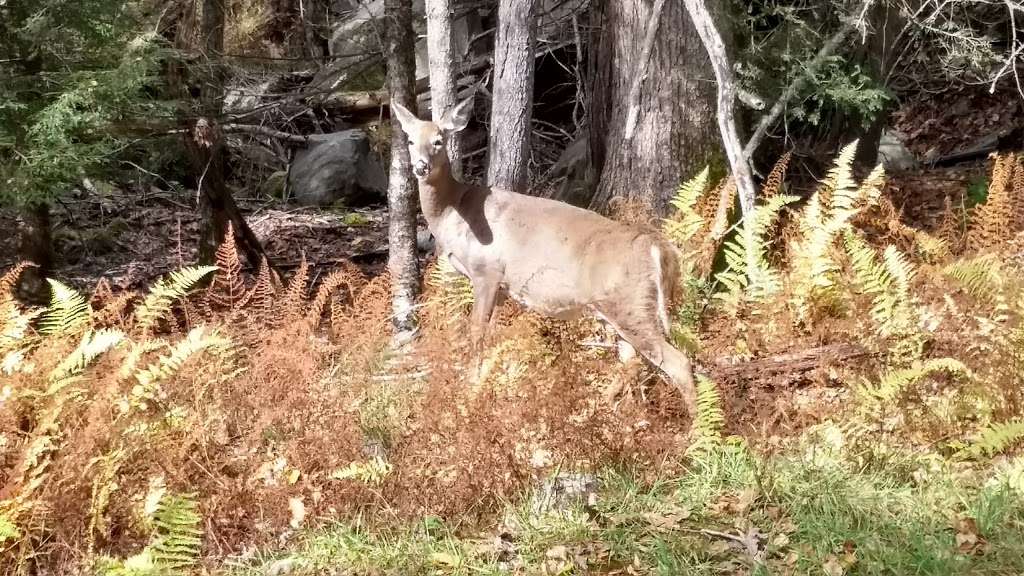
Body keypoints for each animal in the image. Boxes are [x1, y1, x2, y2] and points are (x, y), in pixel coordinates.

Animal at [387, 96, 700, 414]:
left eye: (439, 141)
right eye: (410, 140)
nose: (420, 167)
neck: (453, 211)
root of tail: (656, 247)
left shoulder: (486, 271)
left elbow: (477, 332)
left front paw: (470, 392)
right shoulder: (502, 288)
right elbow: (494, 334)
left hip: (630, 304)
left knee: (678, 362)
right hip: (617, 309)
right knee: (633, 361)